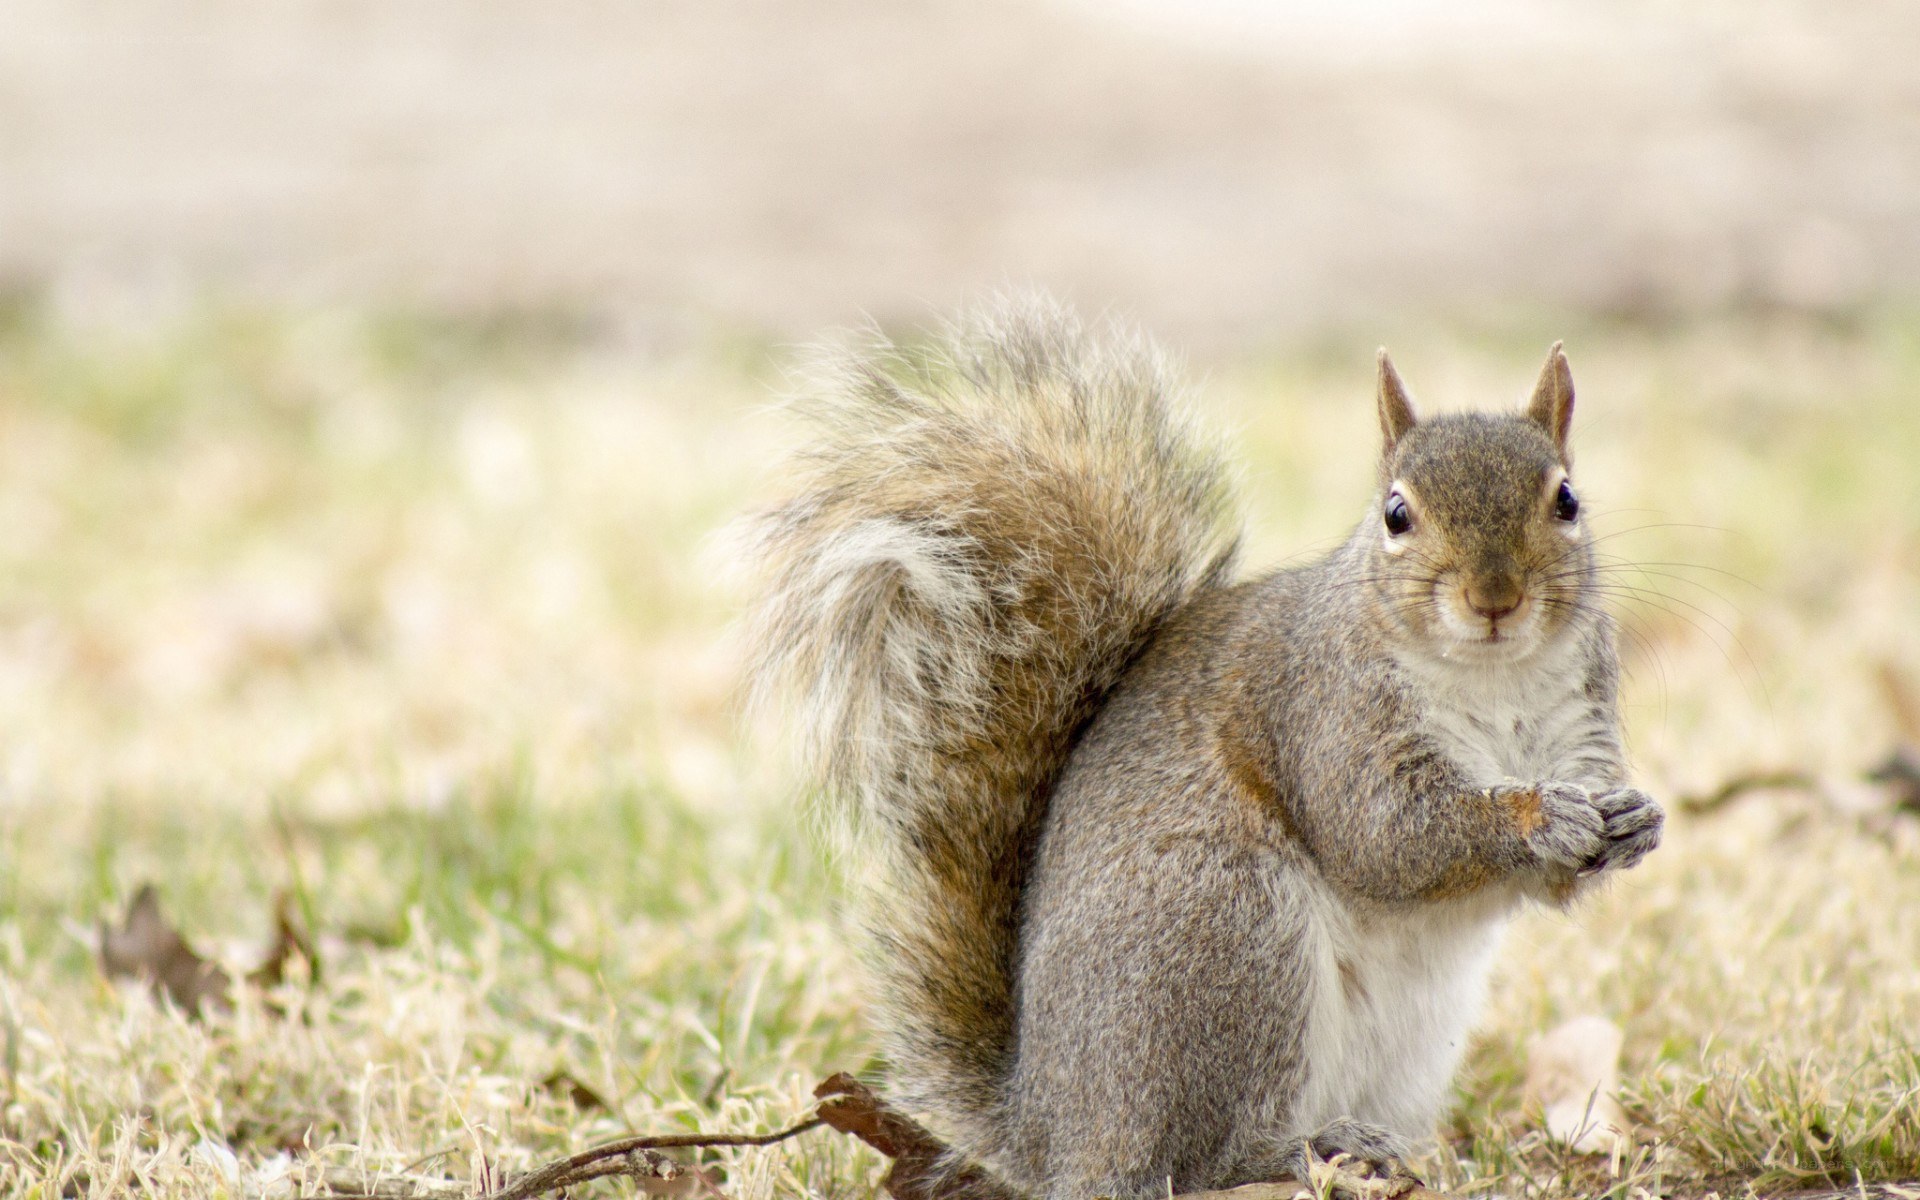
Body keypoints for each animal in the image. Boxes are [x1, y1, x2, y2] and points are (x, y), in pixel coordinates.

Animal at [735, 297, 1663, 1200]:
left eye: (1567, 500)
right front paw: (1536, 819)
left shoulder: (1580, 718)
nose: (1495, 597)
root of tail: (1048, 1134)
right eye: (1396, 514)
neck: (1493, 676)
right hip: (1224, 930)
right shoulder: (1325, 711)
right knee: (1201, 1160)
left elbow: (1558, 876)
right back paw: (1309, 1146)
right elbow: (1385, 837)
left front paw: (1634, 819)